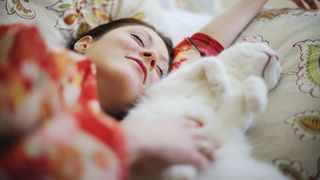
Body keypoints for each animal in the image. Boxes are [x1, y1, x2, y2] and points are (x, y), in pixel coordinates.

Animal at [124, 42, 284, 180]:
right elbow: (210, 60)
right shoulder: (175, 79)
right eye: (263, 44)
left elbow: (254, 82)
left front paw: (257, 100)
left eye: (278, 72)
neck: (234, 77)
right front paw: (219, 83)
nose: (277, 56)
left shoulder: (232, 121)